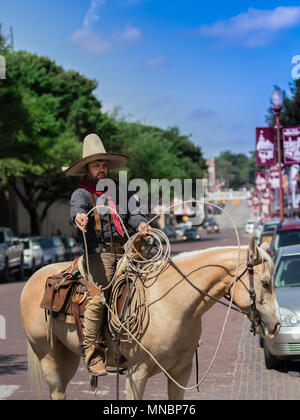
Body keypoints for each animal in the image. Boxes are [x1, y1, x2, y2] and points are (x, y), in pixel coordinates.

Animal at [21, 240, 282, 400]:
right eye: (266, 283)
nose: (277, 325)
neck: (173, 303)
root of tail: (34, 277)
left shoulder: (181, 372)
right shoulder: (137, 373)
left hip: (68, 356)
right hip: (48, 356)